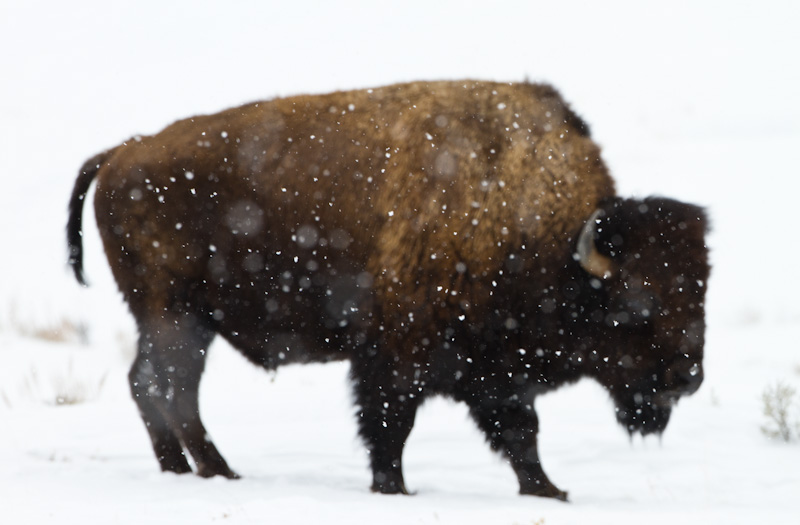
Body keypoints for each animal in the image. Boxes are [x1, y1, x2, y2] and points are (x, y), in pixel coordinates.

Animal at [67, 80, 708, 498]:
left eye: (700, 290)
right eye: (636, 302)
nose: (688, 378)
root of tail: (124, 150)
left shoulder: (493, 370)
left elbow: (519, 433)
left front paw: (549, 491)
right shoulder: (396, 358)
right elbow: (391, 427)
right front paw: (394, 490)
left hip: (178, 321)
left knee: (155, 385)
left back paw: (191, 472)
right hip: (176, 316)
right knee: (166, 386)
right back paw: (215, 472)